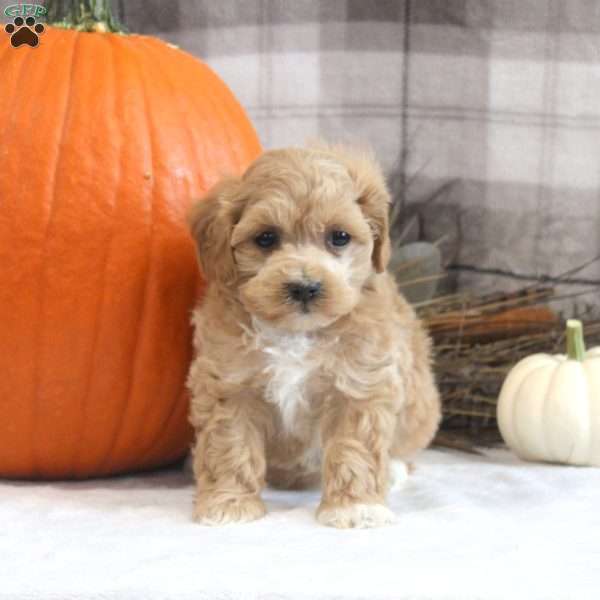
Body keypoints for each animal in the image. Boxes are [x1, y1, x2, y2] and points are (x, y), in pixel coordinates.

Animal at [188, 145, 440, 528]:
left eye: (339, 236)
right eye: (265, 238)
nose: (305, 287)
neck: (297, 332)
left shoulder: (360, 383)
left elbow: (355, 448)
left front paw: (356, 507)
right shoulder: (230, 385)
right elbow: (230, 445)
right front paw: (228, 504)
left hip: (420, 405)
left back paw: (394, 471)